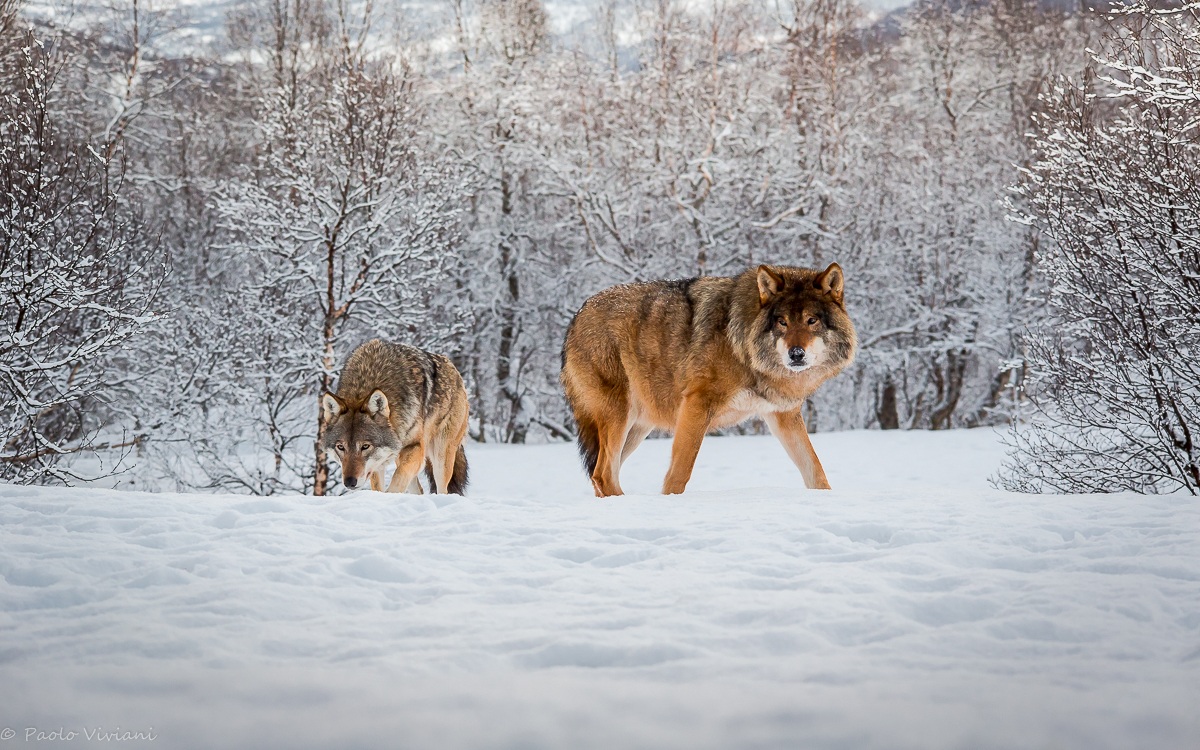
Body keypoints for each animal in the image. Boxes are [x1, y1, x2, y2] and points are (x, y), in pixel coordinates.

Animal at [321, 339, 469, 494]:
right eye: (340, 447)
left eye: (365, 446)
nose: (349, 482)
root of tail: (453, 368)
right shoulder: (377, 463)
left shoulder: (414, 447)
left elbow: (398, 480)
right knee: (418, 489)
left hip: (440, 455)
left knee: (442, 488)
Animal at [561, 263, 856, 497]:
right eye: (782, 322)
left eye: (811, 320)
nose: (796, 354)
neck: (742, 346)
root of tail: (576, 316)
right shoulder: (697, 403)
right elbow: (680, 472)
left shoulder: (783, 415)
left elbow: (816, 471)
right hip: (620, 417)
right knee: (602, 474)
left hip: (637, 426)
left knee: (602, 474)